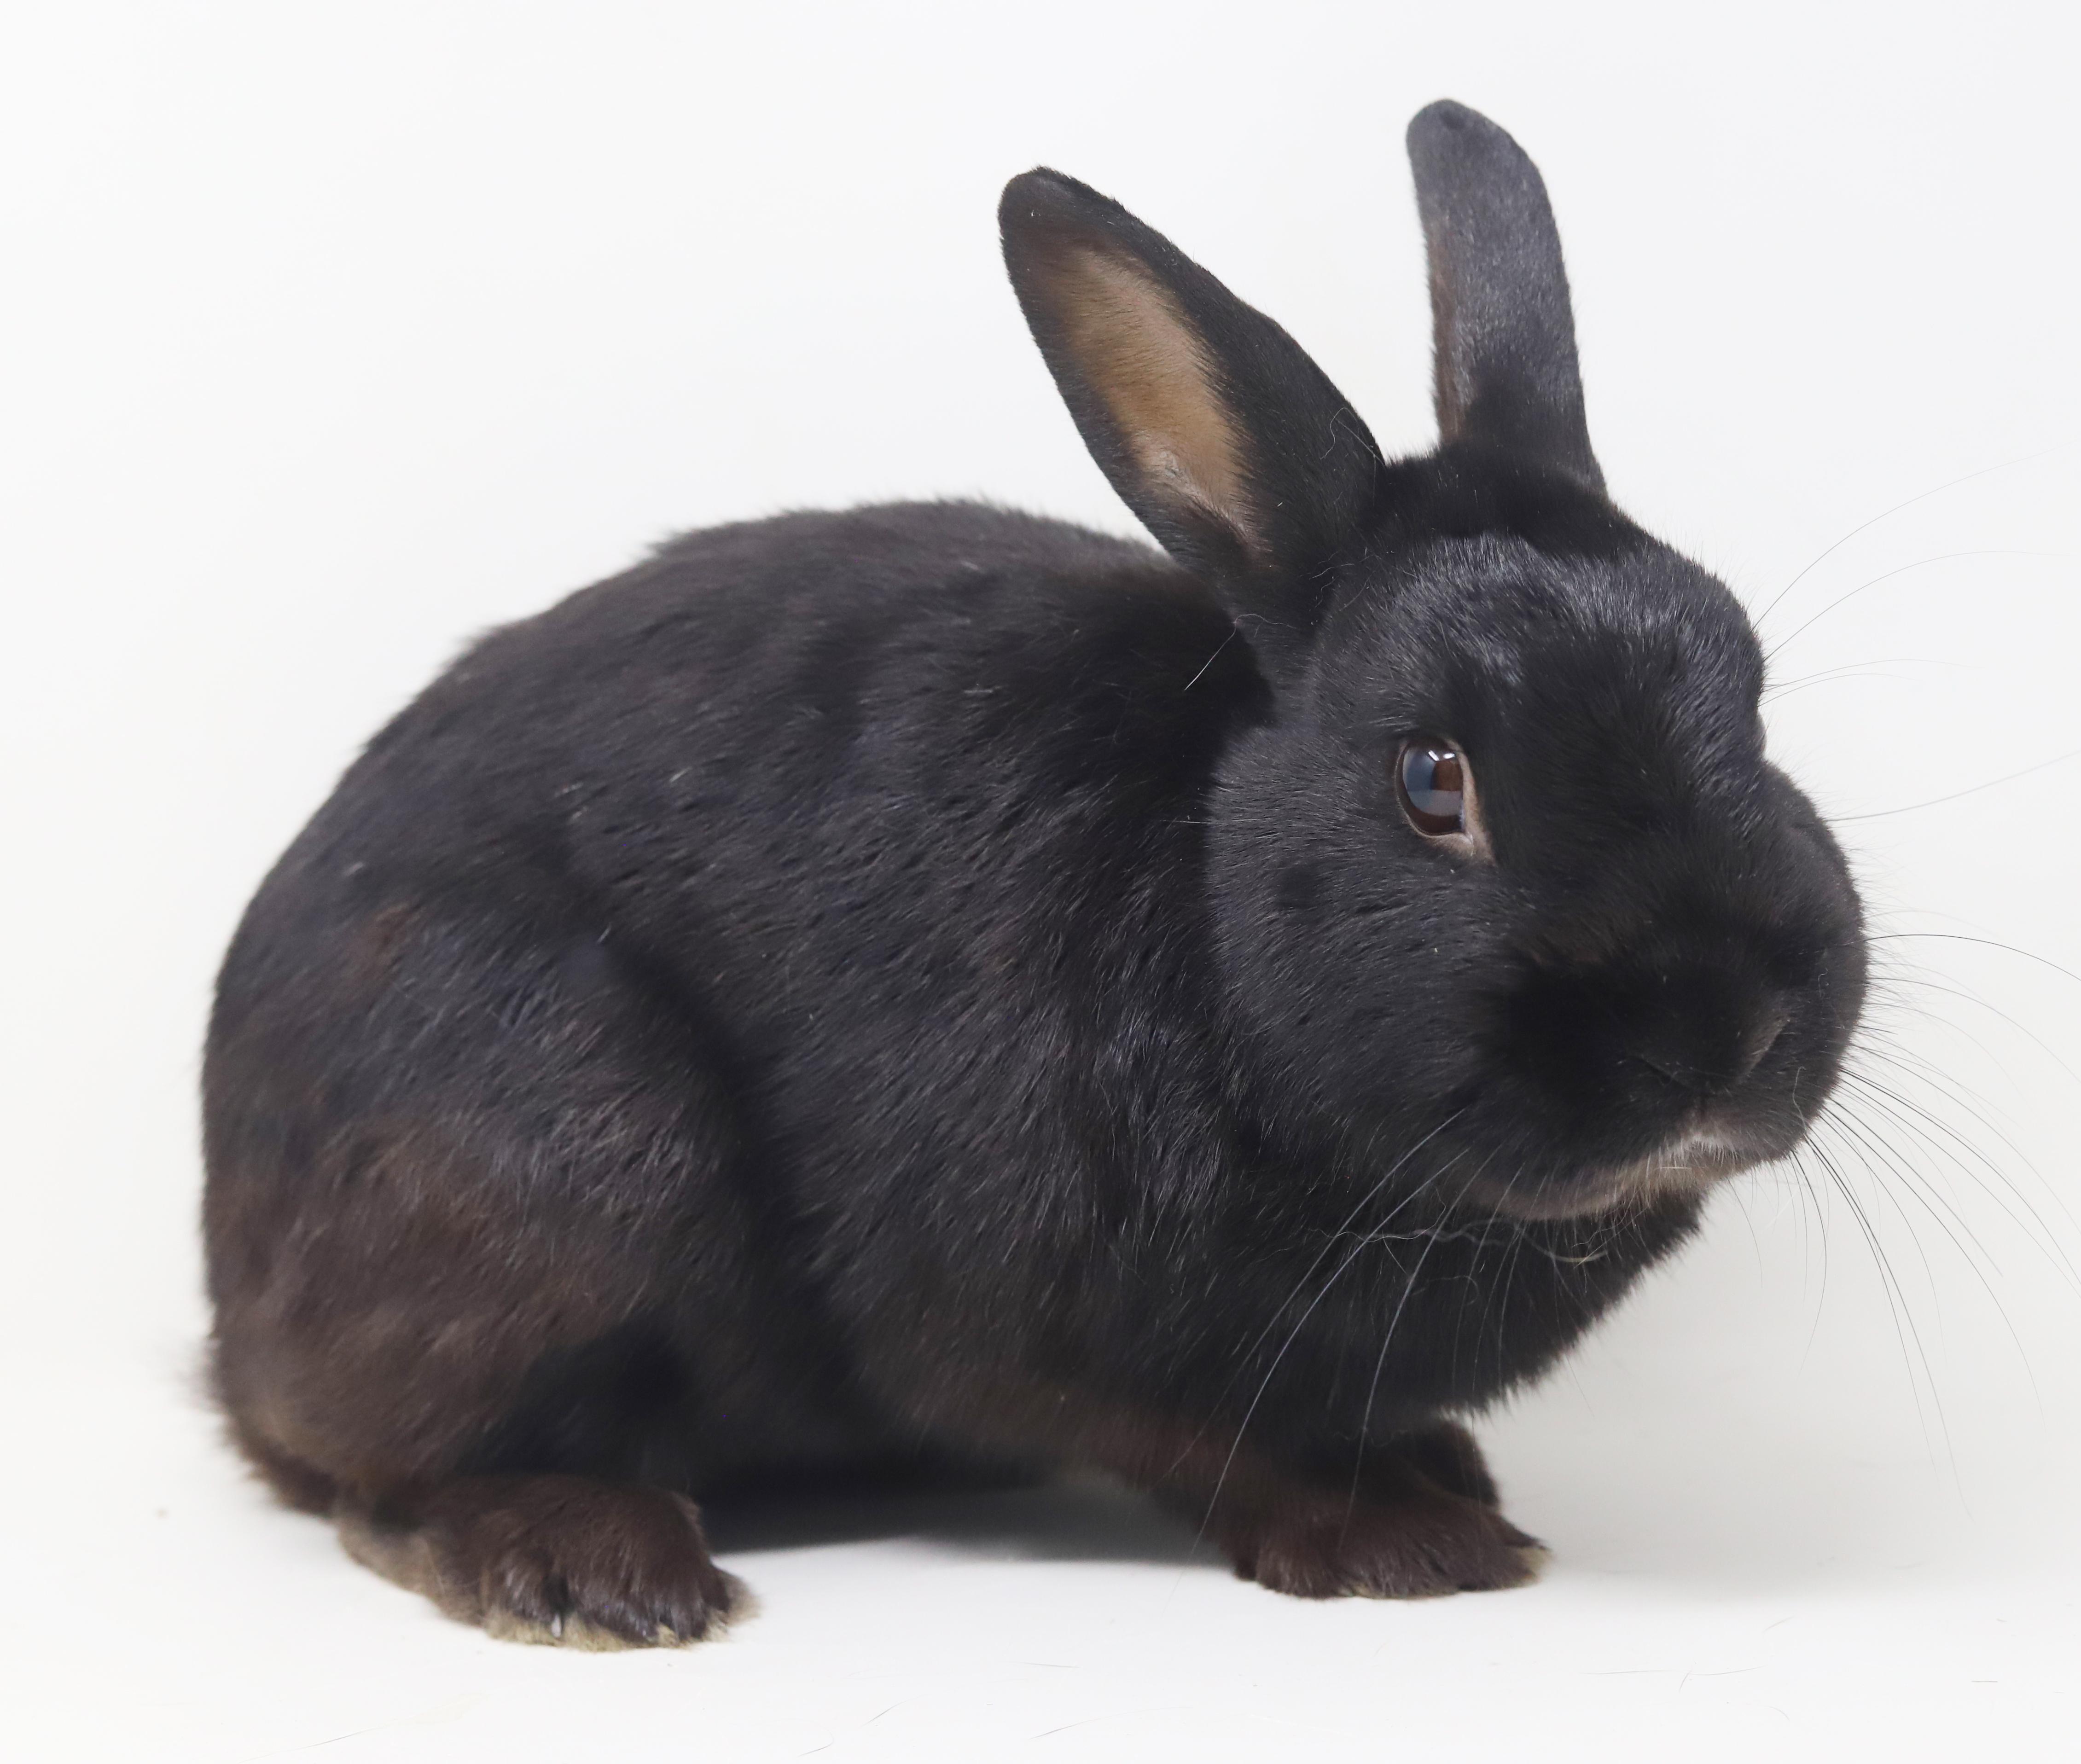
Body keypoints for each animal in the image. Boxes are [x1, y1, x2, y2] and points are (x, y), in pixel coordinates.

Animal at [202, 99, 1867, 1647]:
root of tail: (227, 1296)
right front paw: (1409, 1540)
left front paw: (1446, 1479)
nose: (1722, 1041)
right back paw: (593, 1570)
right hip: (558, 1127)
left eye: (1752, 703)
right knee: (379, 1475)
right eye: (1432, 782)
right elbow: (1212, 1440)